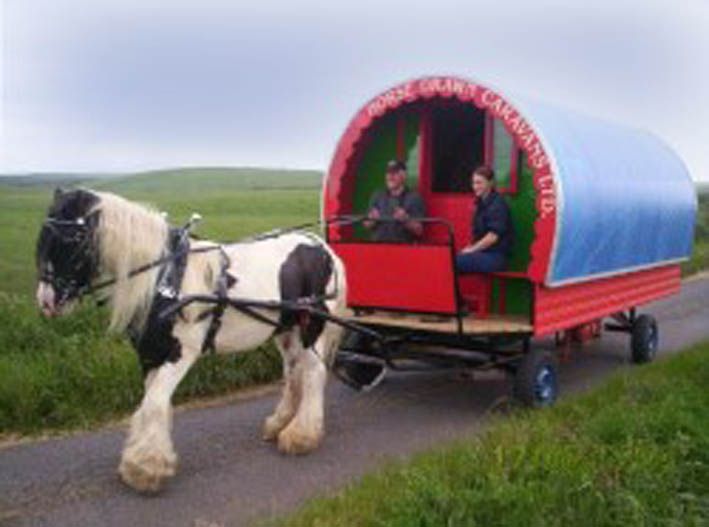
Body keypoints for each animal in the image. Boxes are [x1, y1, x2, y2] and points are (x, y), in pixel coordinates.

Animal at [35, 188, 347, 493]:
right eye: (43, 236)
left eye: (74, 237)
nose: (46, 301)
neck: (165, 278)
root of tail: (321, 246)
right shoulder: (150, 354)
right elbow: (152, 403)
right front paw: (143, 458)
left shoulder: (179, 353)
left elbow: (154, 403)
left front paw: (145, 469)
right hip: (286, 329)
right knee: (293, 372)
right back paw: (280, 423)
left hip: (312, 326)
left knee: (313, 372)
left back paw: (301, 435)